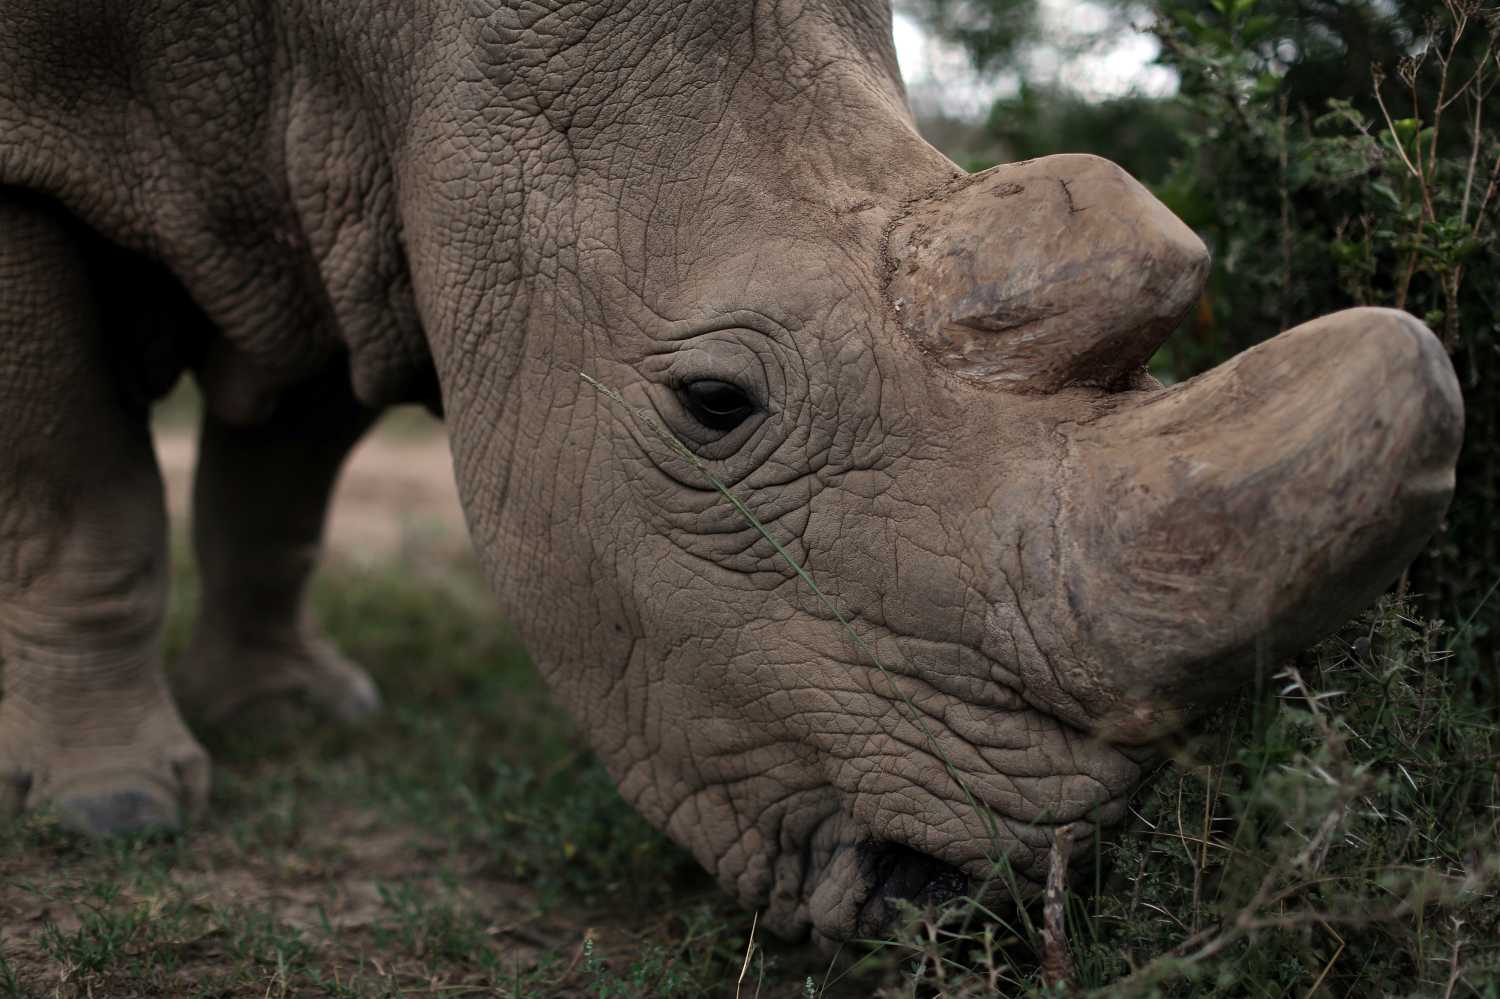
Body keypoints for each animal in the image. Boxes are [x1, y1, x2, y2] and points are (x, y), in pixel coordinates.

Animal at [0, 0, 1463, 943]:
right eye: (714, 403)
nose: (955, 902)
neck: (384, 40)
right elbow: (77, 491)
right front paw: (114, 810)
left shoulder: (343, 185)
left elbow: (284, 477)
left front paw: (295, 714)